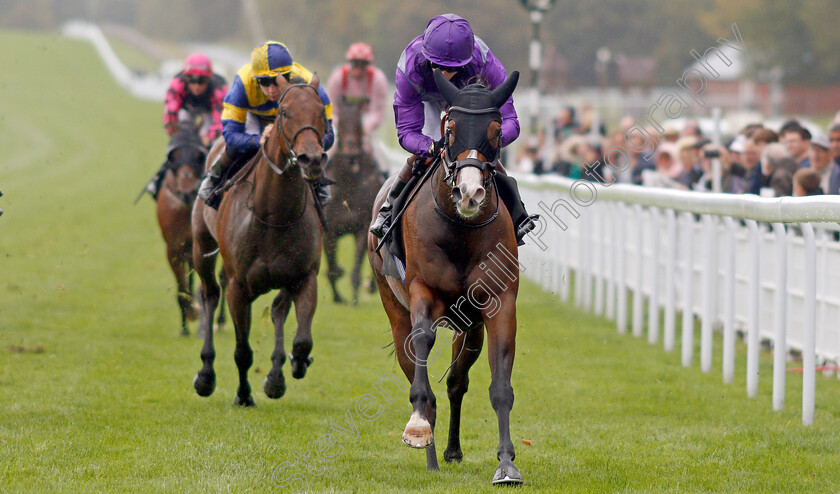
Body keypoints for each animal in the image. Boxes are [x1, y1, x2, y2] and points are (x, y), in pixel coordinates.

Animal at [192, 73, 326, 406]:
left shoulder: (304, 277)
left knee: (278, 310)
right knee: (210, 294)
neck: (274, 214)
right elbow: (242, 351)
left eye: (321, 111)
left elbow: (302, 340)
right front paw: (243, 395)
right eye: (284, 113)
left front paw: (295, 364)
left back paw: (277, 375)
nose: (311, 159)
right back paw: (206, 374)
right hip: (202, 248)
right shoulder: (239, 287)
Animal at [324, 98, 384, 302]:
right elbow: (332, 269)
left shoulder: (361, 228)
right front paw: (337, 297)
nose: (351, 151)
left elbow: (357, 268)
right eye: (341, 122)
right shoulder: (330, 231)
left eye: (358, 121)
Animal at [370, 71, 524, 484]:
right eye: (450, 129)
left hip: (468, 325)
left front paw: (507, 464)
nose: (469, 193)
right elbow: (423, 345)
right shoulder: (422, 292)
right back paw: (430, 454)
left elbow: (498, 385)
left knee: (457, 383)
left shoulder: (498, 302)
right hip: (393, 308)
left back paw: (451, 451)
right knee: (414, 365)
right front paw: (417, 429)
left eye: (496, 129)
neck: (460, 229)